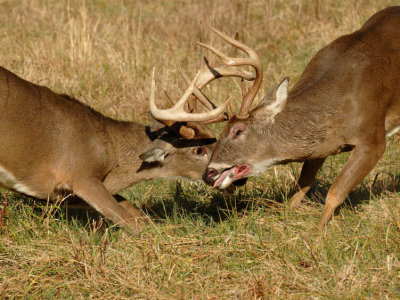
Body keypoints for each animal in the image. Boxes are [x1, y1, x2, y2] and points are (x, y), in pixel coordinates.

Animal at [0, 48, 256, 232]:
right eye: (199, 150)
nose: (240, 178)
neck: (110, 151)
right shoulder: (79, 175)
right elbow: (131, 223)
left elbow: (138, 216)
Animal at [149, 6, 400, 227]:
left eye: (238, 130)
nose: (209, 173)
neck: (337, 101)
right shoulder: (321, 147)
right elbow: (299, 190)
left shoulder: (372, 137)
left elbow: (335, 193)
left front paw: (316, 233)